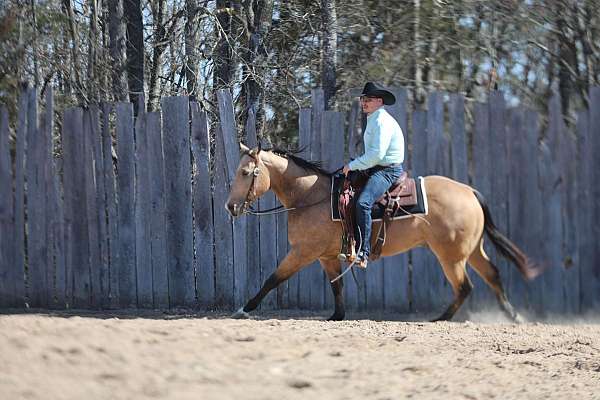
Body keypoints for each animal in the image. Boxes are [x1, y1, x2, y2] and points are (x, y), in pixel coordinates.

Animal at [225, 144, 540, 322]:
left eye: (245, 173)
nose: (230, 207)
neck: (310, 195)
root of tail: (469, 191)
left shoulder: (303, 252)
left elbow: (273, 279)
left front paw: (244, 309)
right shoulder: (326, 256)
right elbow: (337, 286)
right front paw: (337, 316)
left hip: (451, 256)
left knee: (465, 287)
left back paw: (440, 319)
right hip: (471, 250)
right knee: (492, 275)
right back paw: (513, 315)